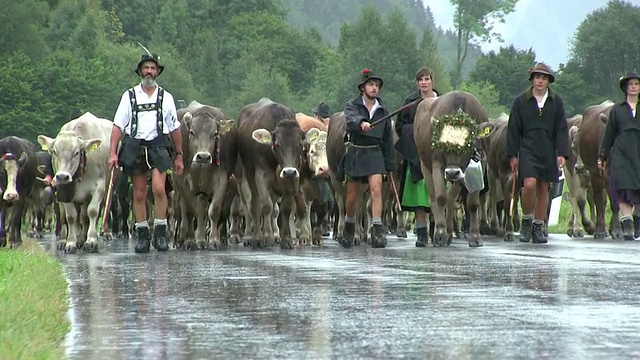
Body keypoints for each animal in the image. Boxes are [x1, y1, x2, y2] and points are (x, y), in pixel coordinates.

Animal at [37, 112, 111, 253]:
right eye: (54, 151)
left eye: (76, 152)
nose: (62, 176)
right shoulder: (64, 193)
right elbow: (71, 217)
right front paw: (71, 243)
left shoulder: (99, 188)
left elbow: (92, 212)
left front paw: (91, 241)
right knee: (77, 218)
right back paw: (76, 239)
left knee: (90, 215)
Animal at [238, 97, 308, 249]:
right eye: (277, 144)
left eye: (300, 144)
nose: (289, 171)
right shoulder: (261, 175)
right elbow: (266, 206)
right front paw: (266, 237)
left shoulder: (292, 178)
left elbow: (286, 209)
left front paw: (286, 239)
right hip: (249, 174)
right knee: (254, 204)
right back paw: (255, 236)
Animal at [416, 90, 496, 248]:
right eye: (443, 144)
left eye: (467, 143)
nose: (452, 172)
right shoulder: (437, 164)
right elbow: (440, 197)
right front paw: (440, 234)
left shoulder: (479, 164)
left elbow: (472, 203)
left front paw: (475, 236)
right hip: (425, 165)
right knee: (434, 197)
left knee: (451, 199)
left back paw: (450, 232)